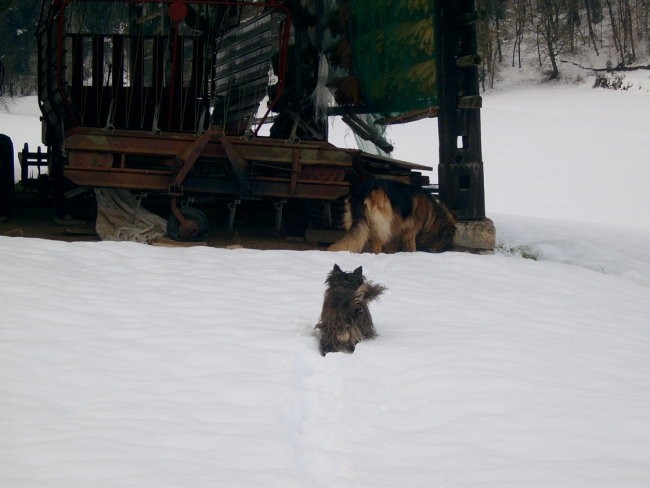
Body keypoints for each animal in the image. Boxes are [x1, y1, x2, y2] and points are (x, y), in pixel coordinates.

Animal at [326, 179, 454, 255]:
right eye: (449, 237)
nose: (449, 249)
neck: (433, 211)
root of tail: (363, 191)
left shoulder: (394, 232)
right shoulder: (410, 232)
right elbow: (412, 246)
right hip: (381, 223)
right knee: (376, 244)